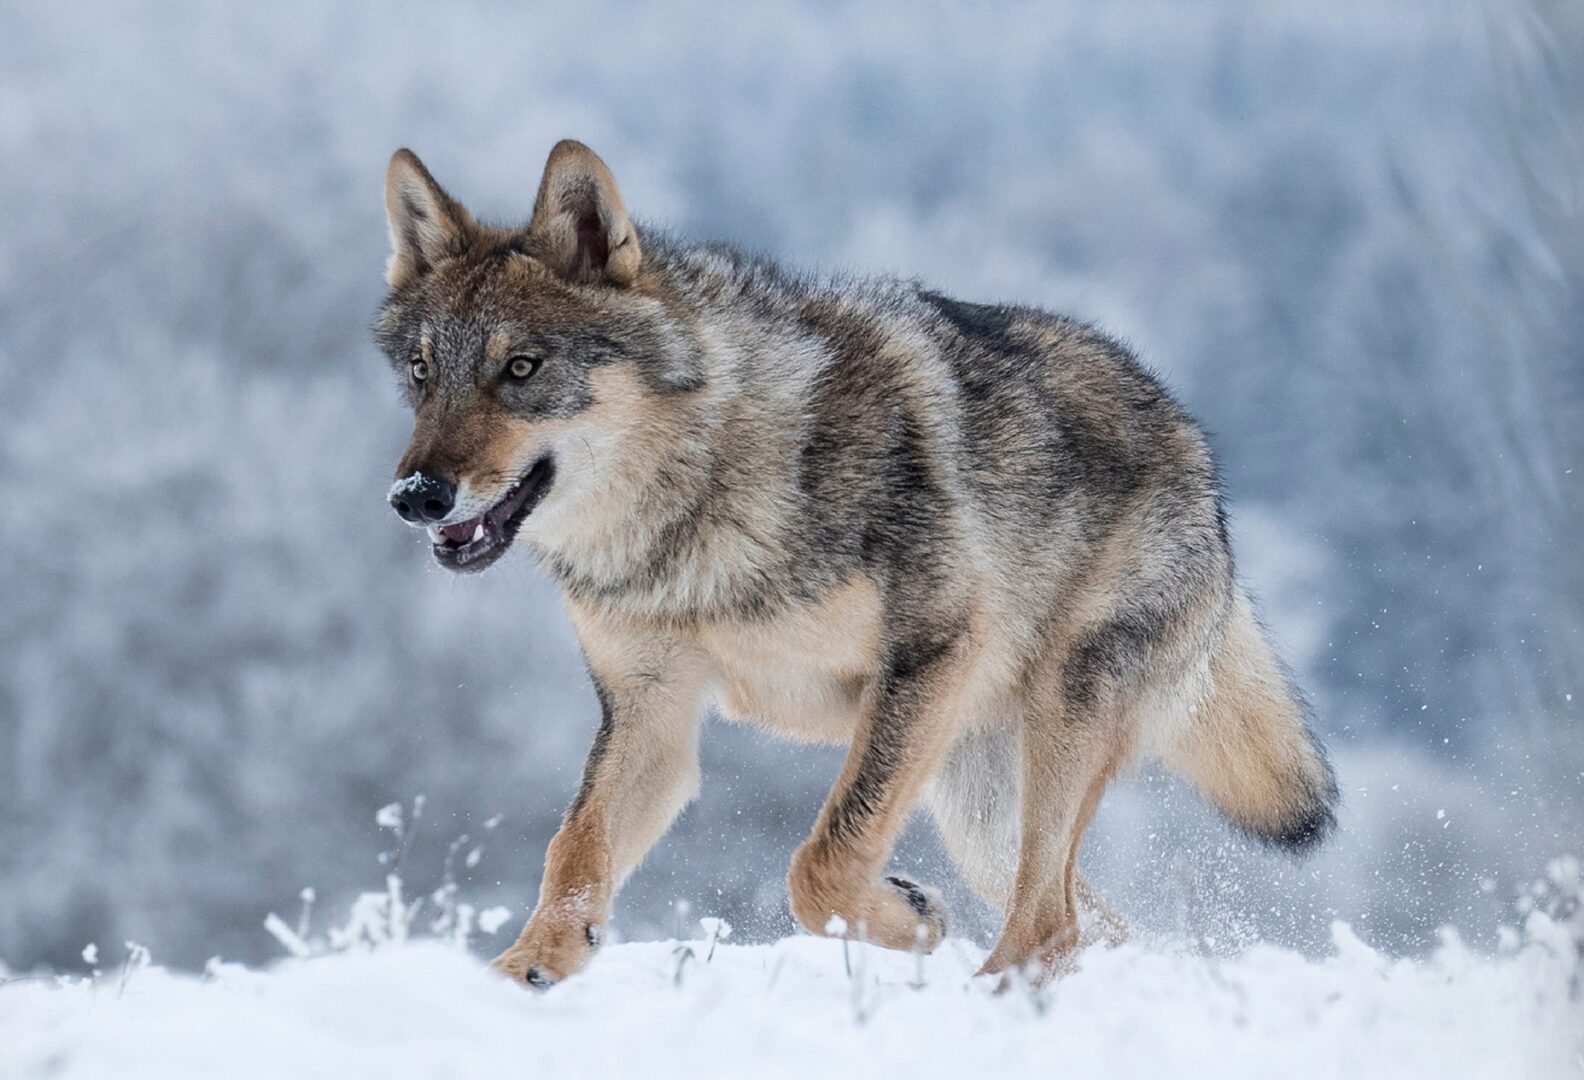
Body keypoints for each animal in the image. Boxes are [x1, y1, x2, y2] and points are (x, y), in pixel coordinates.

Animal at [375, 140, 1338, 987]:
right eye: (422, 374)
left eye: (521, 368)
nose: (416, 495)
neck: (699, 503)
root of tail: (1191, 438)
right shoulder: (650, 713)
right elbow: (572, 850)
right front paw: (524, 975)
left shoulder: (924, 654)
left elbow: (821, 863)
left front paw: (912, 921)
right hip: (979, 813)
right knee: (1092, 920)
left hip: (1056, 724)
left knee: (1050, 921)